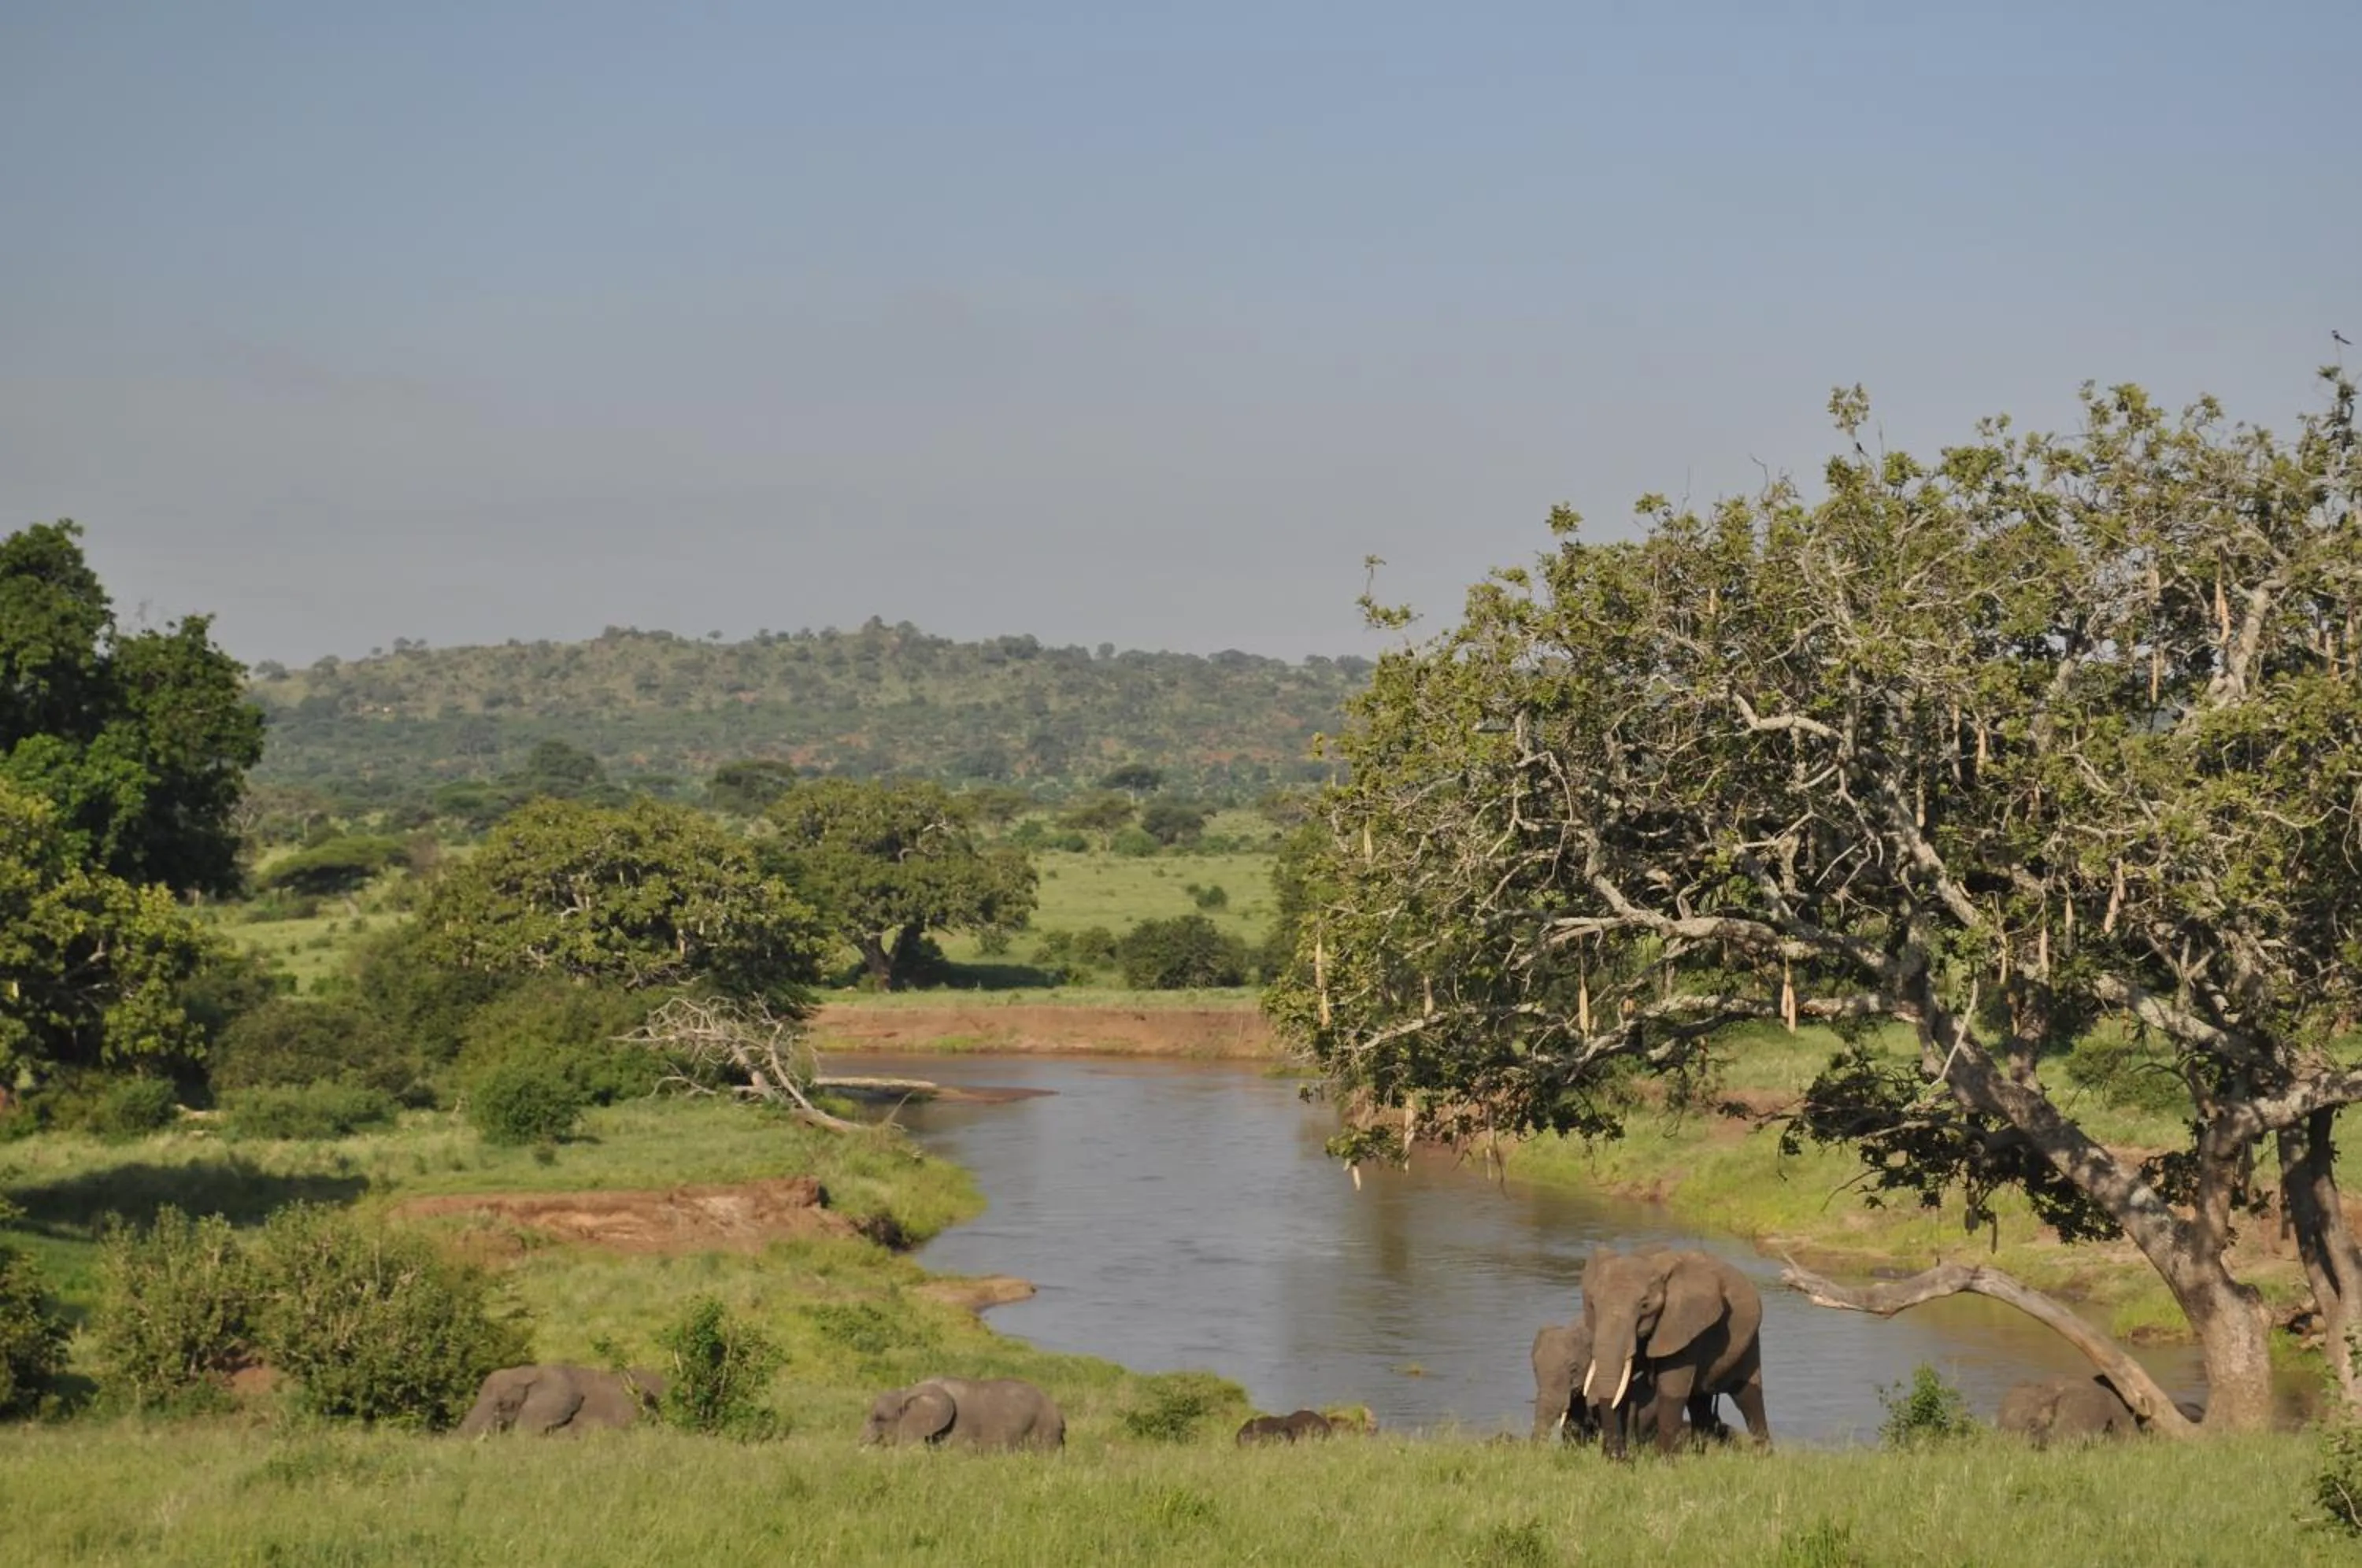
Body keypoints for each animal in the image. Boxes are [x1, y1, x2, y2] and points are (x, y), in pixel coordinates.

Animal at [1578, 1246, 1771, 1458]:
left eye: (1645, 1306)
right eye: (1593, 1305)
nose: (1620, 1458)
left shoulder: (1683, 1325)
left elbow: (1672, 1390)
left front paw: (1663, 1461)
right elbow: (1624, 1386)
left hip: (1749, 1339)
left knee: (1747, 1395)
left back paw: (1763, 1456)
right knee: (1699, 1400)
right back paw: (1700, 1453)